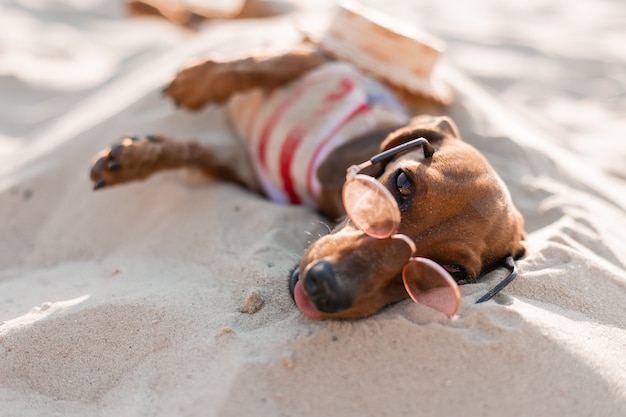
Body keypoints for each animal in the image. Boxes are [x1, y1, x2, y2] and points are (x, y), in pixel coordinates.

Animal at [90, 5, 524, 322]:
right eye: (403, 182)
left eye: (451, 273)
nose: (326, 288)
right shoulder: (322, 63)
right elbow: (259, 64)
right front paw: (192, 85)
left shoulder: (248, 172)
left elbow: (198, 150)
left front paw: (135, 158)